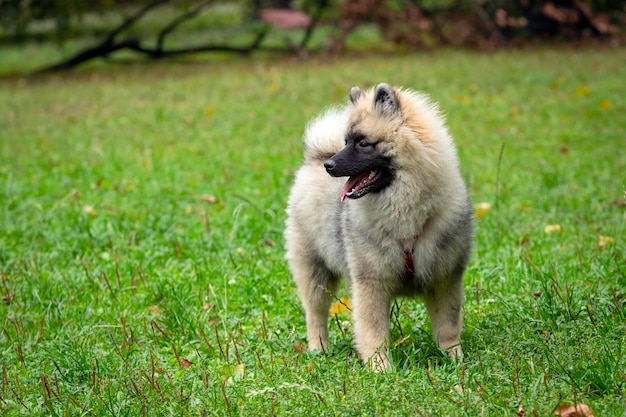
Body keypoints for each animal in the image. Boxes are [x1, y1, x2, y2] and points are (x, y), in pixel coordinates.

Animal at [284, 83, 472, 368]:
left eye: (363, 143)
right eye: (346, 142)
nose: (330, 165)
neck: (405, 210)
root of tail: (315, 158)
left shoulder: (445, 279)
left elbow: (447, 326)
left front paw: (454, 358)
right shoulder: (371, 282)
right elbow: (373, 331)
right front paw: (380, 367)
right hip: (315, 271)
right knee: (315, 314)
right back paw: (319, 349)